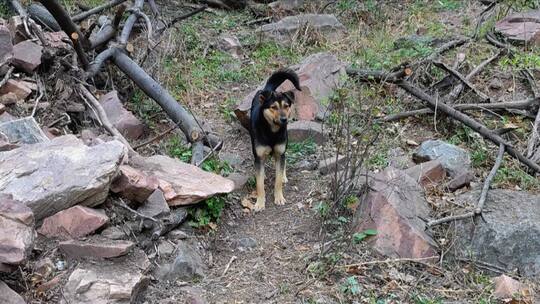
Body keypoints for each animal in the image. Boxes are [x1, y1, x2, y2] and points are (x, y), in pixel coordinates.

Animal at [249, 69, 300, 211]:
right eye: (274, 107)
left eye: (286, 106)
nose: (284, 119)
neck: (272, 132)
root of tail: (267, 89)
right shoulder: (259, 155)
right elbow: (259, 184)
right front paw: (260, 202)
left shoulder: (280, 152)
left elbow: (277, 179)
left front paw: (279, 197)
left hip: (284, 146)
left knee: (283, 160)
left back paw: (284, 175)